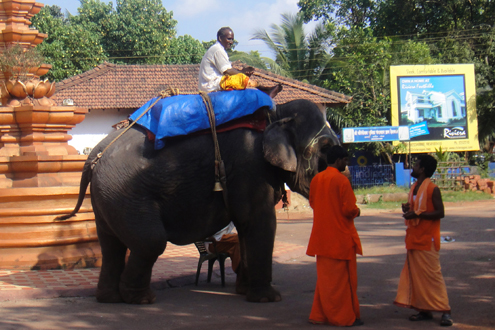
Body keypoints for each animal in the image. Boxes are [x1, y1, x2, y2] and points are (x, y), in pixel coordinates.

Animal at [61, 87, 340, 304]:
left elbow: (245, 226)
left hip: (106, 197)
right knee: (150, 241)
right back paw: (141, 299)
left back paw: (109, 298)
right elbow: (259, 222)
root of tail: (95, 155)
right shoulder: (251, 167)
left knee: (111, 245)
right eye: (325, 147)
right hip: (126, 194)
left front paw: (244, 292)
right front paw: (268, 299)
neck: (277, 114)